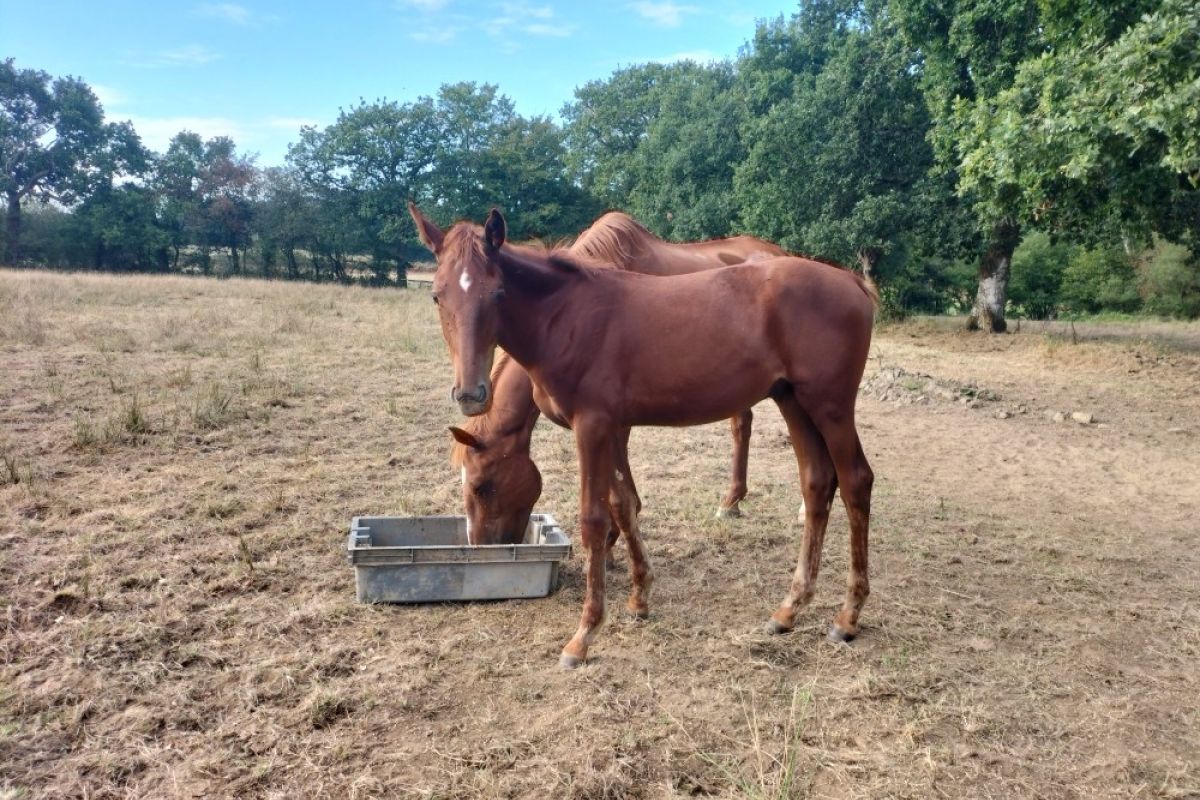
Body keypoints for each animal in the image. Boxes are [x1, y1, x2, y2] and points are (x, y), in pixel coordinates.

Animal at [420, 206, 788, 546]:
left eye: (481, 487)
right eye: (435, 296)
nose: (480, 545)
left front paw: (612, 539)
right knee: (741, 424)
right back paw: (731, 501)